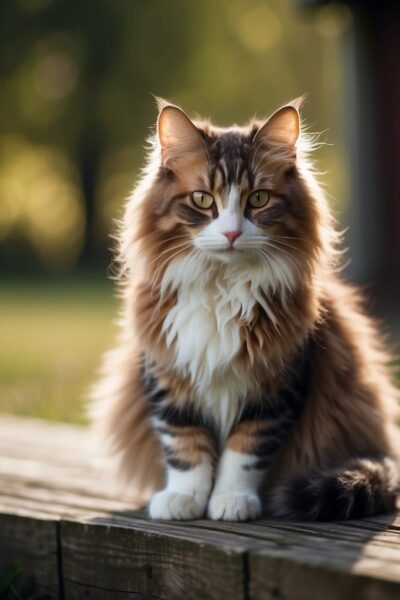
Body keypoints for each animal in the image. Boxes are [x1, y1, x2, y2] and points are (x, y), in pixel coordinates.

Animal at [90, 98, 400, 520]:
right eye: (203, 199)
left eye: (258, 199)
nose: (232, 233)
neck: (221, 290)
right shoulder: (167, 375)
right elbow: (184, 445)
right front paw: (184, 498)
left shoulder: (275, 386)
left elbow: (245, 452)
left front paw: (231, 500)